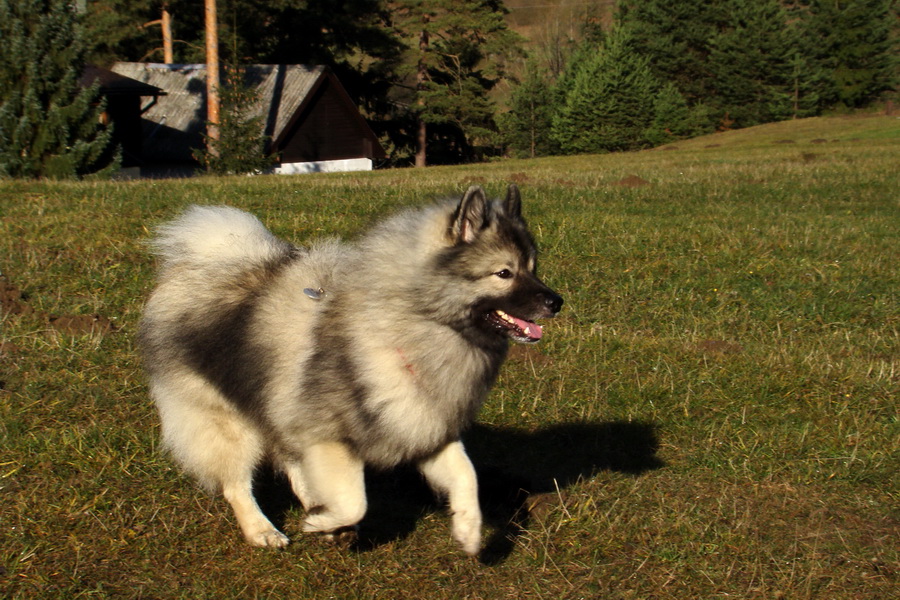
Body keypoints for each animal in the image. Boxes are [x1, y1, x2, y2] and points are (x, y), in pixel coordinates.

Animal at [138, 184, 564, 552]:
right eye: (504, 273)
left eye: (534, 267)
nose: (556, 301)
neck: (416, 325)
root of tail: (202, 262)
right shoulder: (330, 435)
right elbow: (355, 499)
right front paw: (323, 522)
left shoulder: (426, 425)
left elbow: (466, 474)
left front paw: (468, 528)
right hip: (226, 422)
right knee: (237, 482)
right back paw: (262, 529)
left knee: (290, 460)